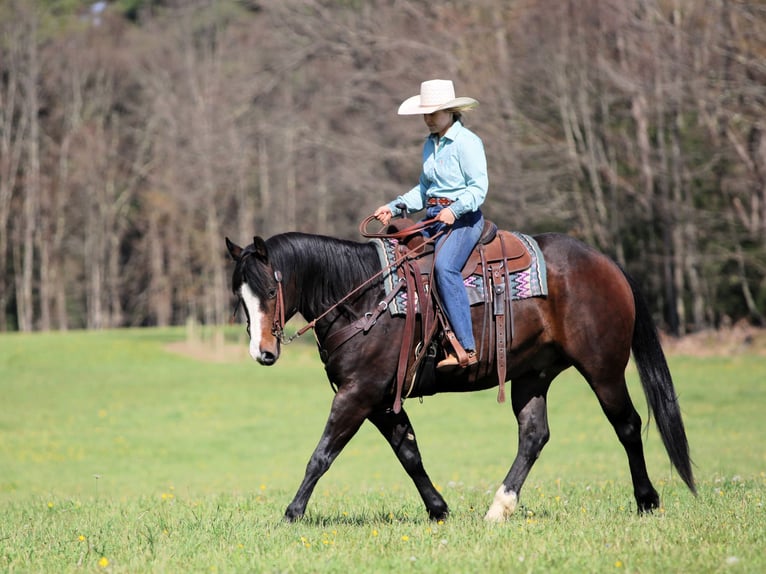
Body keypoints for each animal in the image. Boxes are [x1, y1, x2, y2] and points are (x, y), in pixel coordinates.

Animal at [225, 229, 695, 522]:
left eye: (270, 290)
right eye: (239, 296)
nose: (263, 352)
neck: (365, 299)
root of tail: (605, 263)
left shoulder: (358, 395)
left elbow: (321, 455)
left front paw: (292, 513)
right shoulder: (380, 400)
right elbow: (409, 454)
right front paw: (438, 509)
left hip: (603, 368)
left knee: (628, 425)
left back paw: (647, 501)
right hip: (533, 375)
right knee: (534, 436)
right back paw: (499, 507)